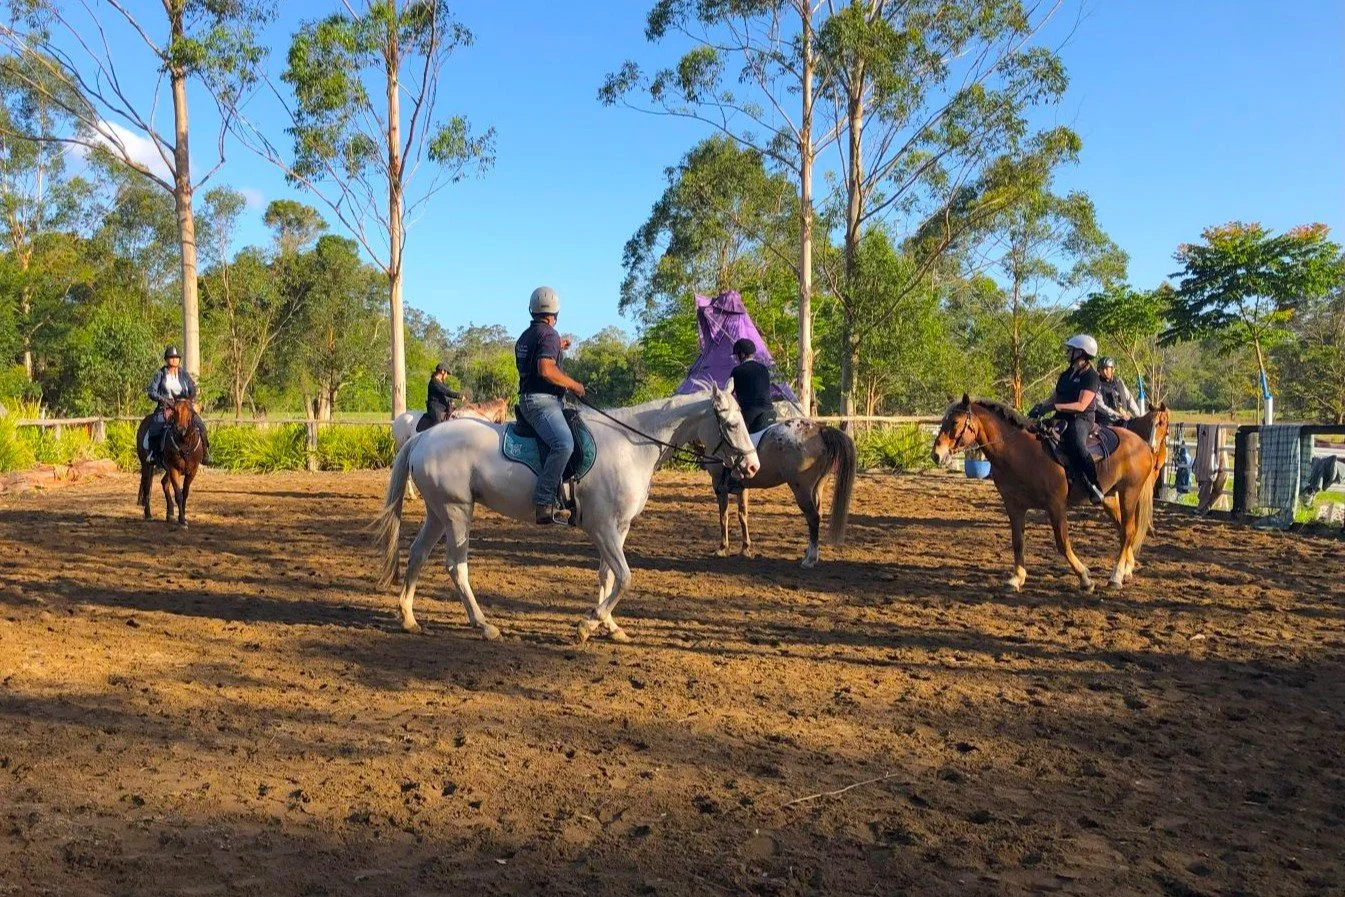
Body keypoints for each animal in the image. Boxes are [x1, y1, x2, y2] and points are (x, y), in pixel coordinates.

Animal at [136, 397, 204, 527]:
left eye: (190, 411)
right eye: (175, 411)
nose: (181, 429)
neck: (184, 443)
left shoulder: (192, 471)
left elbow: (185, 493)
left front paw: (183, 517)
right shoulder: (173, 469)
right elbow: (178, 494)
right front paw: (182, 521)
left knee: (164, 483)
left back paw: (170, 513)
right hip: (146, 464)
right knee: (147, 485)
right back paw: (148, 514)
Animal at [374, 387, 760, 643]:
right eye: (730, 422)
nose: (753, 467)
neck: (630, 445)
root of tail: (423, 437)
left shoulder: (618, 528)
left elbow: (608, 576)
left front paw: (610, 626)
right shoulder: (601, 528)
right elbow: (625, 577)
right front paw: (588, 624)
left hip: (438, 514)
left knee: (417, 555)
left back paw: (408, 618)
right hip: (457, 513)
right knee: (457, 567)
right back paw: (484, 625)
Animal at [706, 418, 856, 567]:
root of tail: (819, 430)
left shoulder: (719, 487)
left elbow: (723, 518)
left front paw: (722, 548)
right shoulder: (742, 489)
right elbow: (742, 516)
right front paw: (745, 549)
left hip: (801, 489)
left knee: (813, 517)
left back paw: (810, 559)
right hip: (817, 488)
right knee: (817, 515)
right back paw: (809, 554)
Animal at [930, 395, 1158, 593]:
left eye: (955, 422)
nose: (936, 455)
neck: (1020, 451)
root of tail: (1141, 443)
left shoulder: (1055, 505)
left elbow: (1062, 543)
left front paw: (1085, 578)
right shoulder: (1014, 506)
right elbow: (1018, 541)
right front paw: (1017, 578)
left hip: (1129, 492)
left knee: (1127, 530)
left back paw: (1116, 577)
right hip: (1109, 497)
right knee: (1124, 529)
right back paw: (1126, 569)